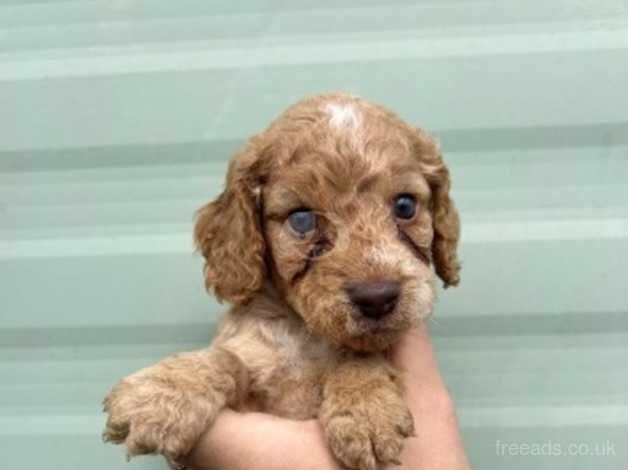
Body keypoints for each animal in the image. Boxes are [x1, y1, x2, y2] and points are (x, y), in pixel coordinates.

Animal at [102, 92, 456, 470]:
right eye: (302, 220)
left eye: (405, 206)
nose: (376, 296)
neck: (304, 334)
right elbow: (226, 358)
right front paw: (161, 393)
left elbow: (363, 354)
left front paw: (365, 407)